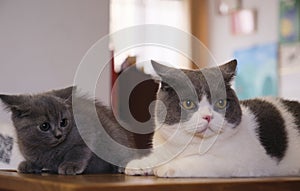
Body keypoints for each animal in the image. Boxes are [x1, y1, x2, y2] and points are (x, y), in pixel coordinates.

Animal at [0, 86, 134, 175]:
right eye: (44, 126)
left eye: (63, 122)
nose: (59, 135)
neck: (47, 149)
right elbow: (34, 159)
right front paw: (29, 164)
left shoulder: (87, 130)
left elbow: (77, 151)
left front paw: (70, 165)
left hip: (113, 135)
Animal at [125, 59, 300, 178]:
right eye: (188, 103)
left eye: (221, 103)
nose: (208, 116)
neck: (191, 144)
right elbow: (159, 156)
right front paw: (141, 163)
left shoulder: (242, 161)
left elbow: (201, 161)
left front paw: (167, 167)